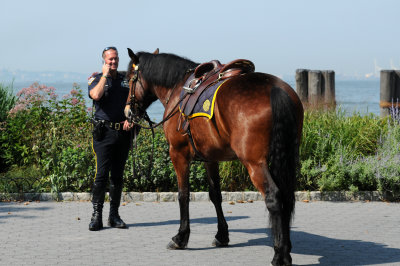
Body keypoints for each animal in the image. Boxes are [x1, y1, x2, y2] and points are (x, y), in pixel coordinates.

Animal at [125, 48, 304, 266]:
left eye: (128, 80)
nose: (128, 112)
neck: (178, 88)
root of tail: (275, 89)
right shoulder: (211, 157)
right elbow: (215, 195)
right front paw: (222, 235)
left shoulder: (178, 153)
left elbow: (183, 194)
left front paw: (181, 237)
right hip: (285, 156)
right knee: (286, 195)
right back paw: (286, 248)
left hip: (255, 163)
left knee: (274, 197)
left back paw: (280, 255)